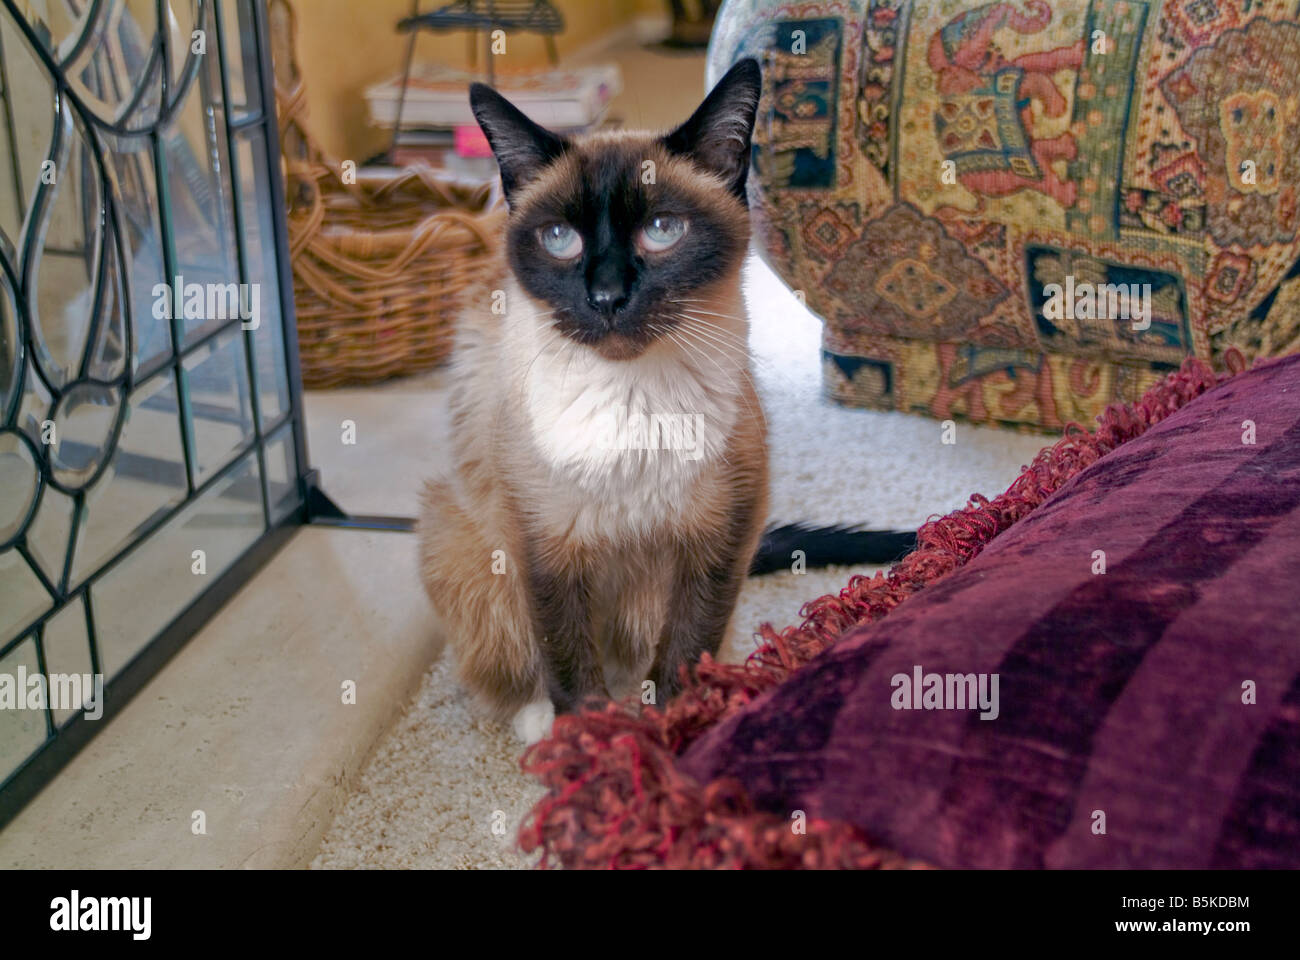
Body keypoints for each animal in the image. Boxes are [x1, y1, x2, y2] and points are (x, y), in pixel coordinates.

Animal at [421, 61, 909, 738]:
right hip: (463, 538)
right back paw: (539, 724)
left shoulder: (721, 531)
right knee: (513, 661)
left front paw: (674, 729)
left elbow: (685, 646)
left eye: (662, 231)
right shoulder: (543, 545)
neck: (632, 401)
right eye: (559, 238)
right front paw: (591, 743)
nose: (606, 297)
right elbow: (567, 660)